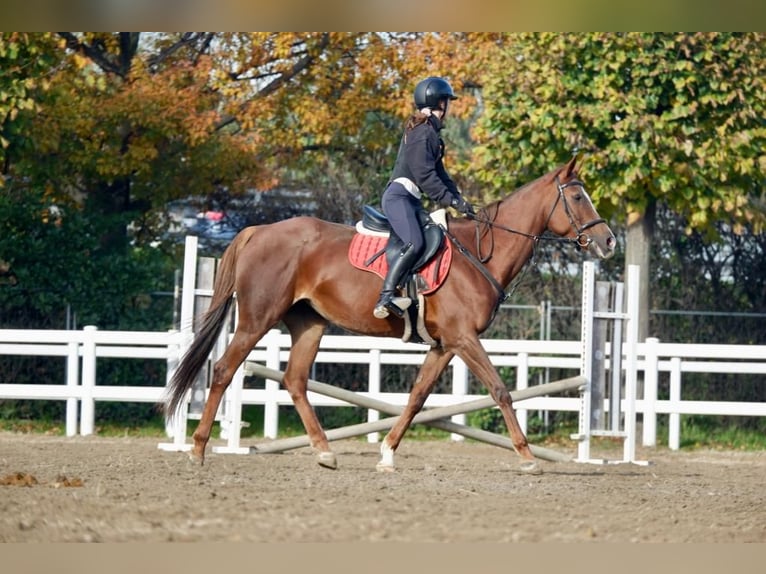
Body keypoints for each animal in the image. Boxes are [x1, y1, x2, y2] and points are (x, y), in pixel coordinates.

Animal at [164, 155, 616, 474]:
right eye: (578, 197)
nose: (608, 241)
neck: (478, 253)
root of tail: (259, 230)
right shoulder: (465, 339)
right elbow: (500, 390)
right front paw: (527, 457)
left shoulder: (445, 345)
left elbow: (417, 398)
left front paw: (385, 453)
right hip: (257, 319)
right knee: (224, 370)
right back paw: (198, 449)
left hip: (309, 324)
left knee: (294, 381)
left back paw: (325, 452)